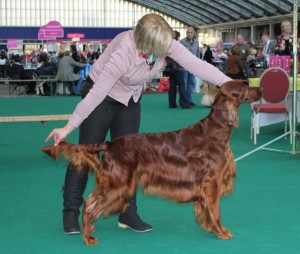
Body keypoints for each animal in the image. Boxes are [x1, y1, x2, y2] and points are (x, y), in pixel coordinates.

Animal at [42, 81, 262, 244]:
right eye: (244, 87)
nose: (260, 89)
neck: (215, 130)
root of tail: (110, 143)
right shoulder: (212, 183)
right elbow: (216, 212)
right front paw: (222, 232)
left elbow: (207, 210)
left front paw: (209, 228)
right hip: (119, 185)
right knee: (91, 208)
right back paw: (88, 238)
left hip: (111, 182)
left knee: (89, 201)